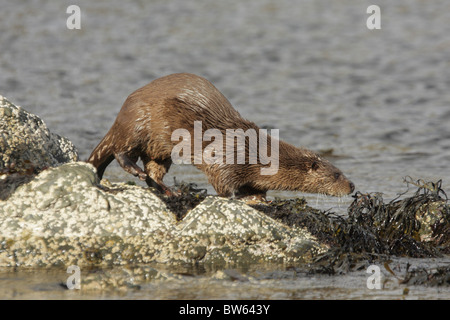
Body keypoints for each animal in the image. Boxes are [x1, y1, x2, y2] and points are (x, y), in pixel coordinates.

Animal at [87, 73, 356, 198]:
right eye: (336, 174)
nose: (352, 185)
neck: (256, 154)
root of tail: (124, 110)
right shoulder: (226, 157)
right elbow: (222, 182)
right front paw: (242, 197)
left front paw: (259, 196)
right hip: (140, 125)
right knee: (121, 150)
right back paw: (136, 171)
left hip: (159, 150)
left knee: (154, 172)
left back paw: (172, 191)